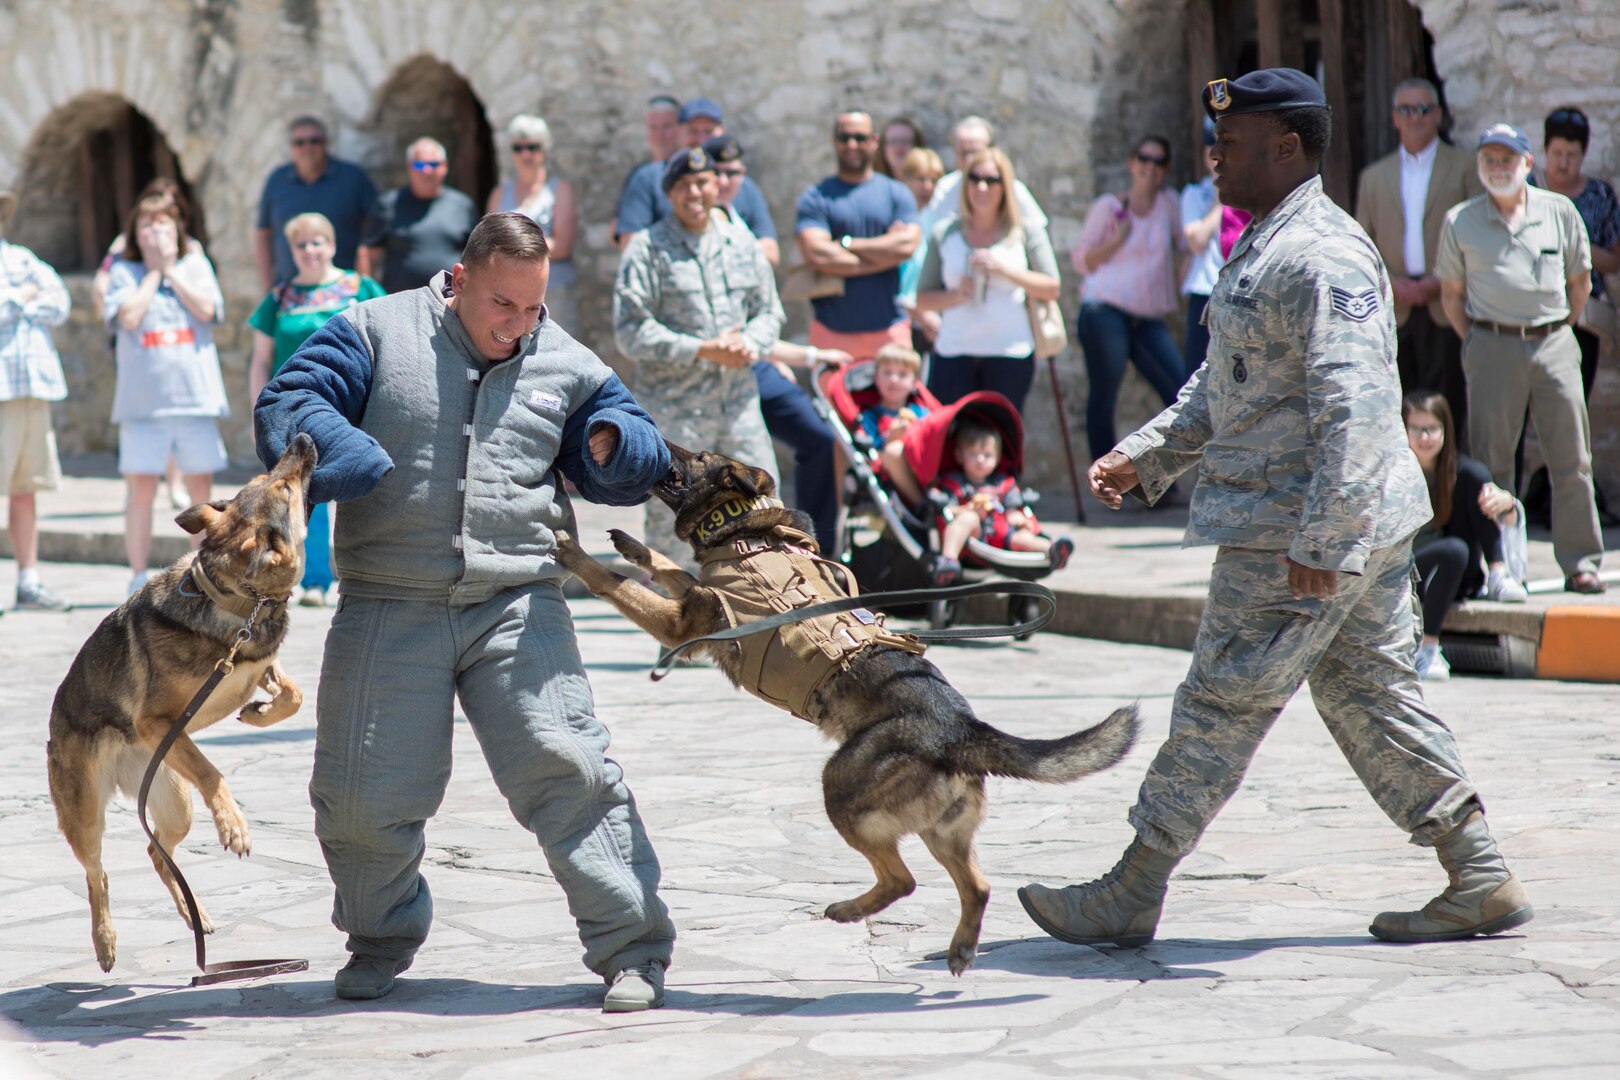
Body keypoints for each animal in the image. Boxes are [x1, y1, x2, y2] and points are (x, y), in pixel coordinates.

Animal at [46, 433, 319, 977]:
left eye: (270, 478)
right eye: (283, 485)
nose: (300, 438)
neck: (239, 600)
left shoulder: (256, 665)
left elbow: (294, 695)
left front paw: (261, 713)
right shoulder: (159, 723)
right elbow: (214, 772)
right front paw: (234, 824)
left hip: (175, 802)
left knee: (155, 850)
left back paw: (196, 918)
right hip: (88, 813)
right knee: (97, 873)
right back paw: (105, 942)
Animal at [557, 443, 1140, 977]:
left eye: (698, 457)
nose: (658, 443)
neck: (749, 531)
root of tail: (962, 730)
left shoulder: (682, 624)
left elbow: (616, 584)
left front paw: (575, 554)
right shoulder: (696, 600)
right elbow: (666, 566)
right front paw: (633, 546)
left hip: (842, 786)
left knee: (903, 879)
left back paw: (849, 910)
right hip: (939, 829)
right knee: (976, 885)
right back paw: (959, 947)